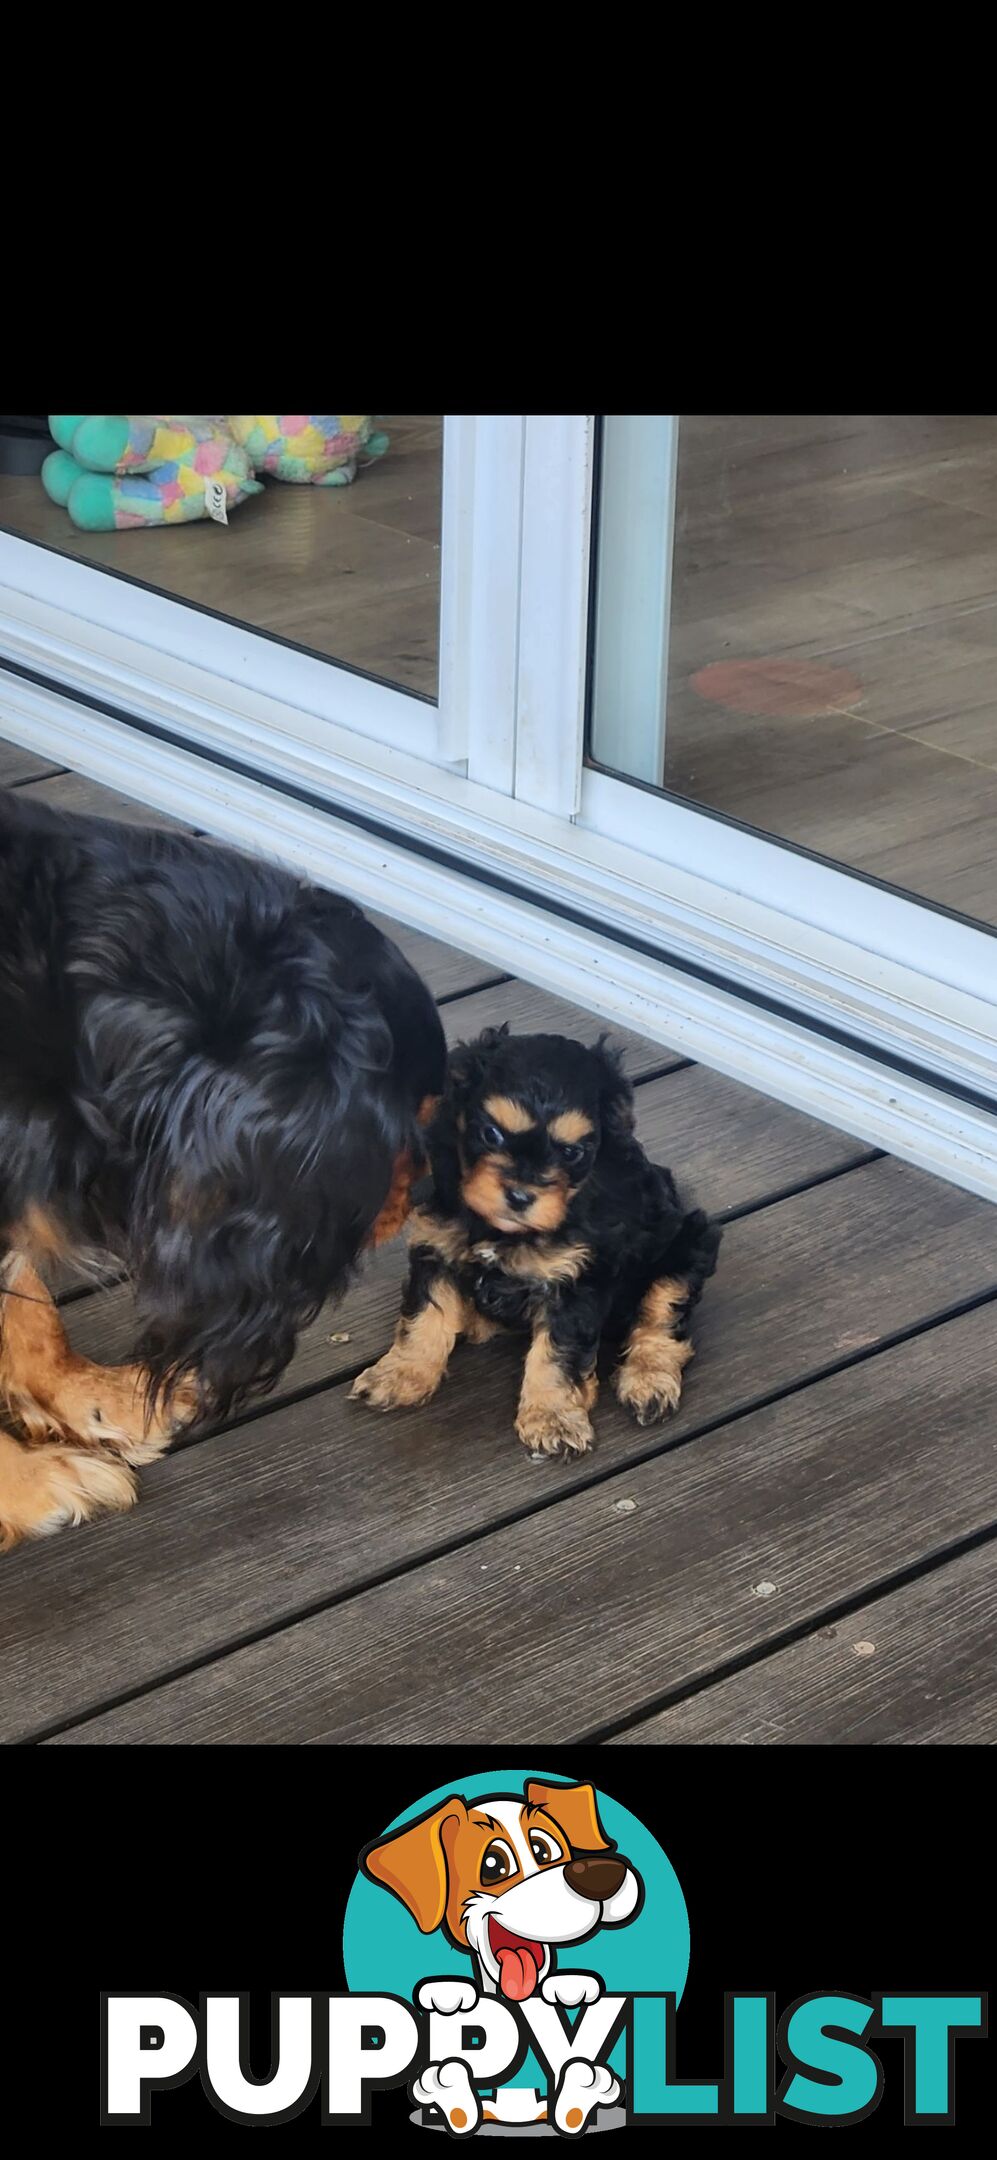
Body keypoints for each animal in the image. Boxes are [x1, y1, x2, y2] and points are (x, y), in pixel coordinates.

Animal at [353, 1023, 720, 1460]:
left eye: (572, 1152)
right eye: (491, 1133)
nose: (520, 1196)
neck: (501, 1229)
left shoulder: (576, 1279)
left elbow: (557, 1355)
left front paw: (552, 1417)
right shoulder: (437, 1246)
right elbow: (425, 1314)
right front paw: (400, 1374)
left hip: (688, 1242)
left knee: (661, 1317)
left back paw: (648, 1381)